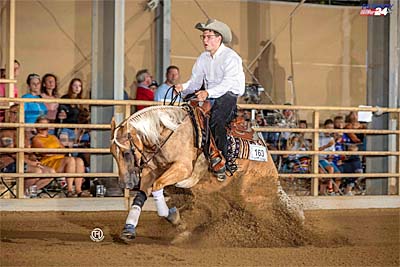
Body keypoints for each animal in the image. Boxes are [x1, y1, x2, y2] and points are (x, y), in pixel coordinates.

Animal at [109, 105, 304, 244]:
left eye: (126, 153)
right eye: (112, 153)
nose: (124, 184)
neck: (169, 134)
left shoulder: (182, 169)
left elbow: (158, 188)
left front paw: (174, 217)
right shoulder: (150, 172)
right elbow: (140, 198)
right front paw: (128, 230)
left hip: (253, 196)